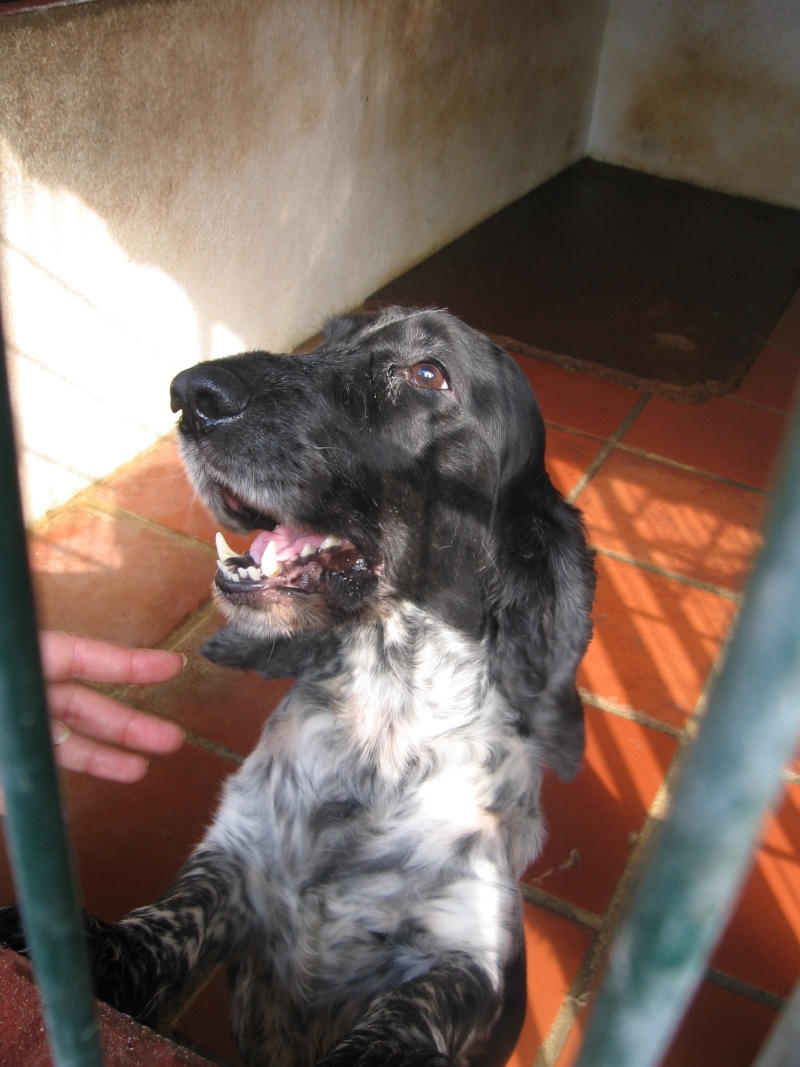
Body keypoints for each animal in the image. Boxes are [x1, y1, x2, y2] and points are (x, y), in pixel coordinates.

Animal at [1, 307, 597, 1067]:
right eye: (331, 337)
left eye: (428, 373)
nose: (192, 393)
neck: (379, 734)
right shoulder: (234, 862)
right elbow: (163, 924)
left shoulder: (465, 948)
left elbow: (413, 1011)